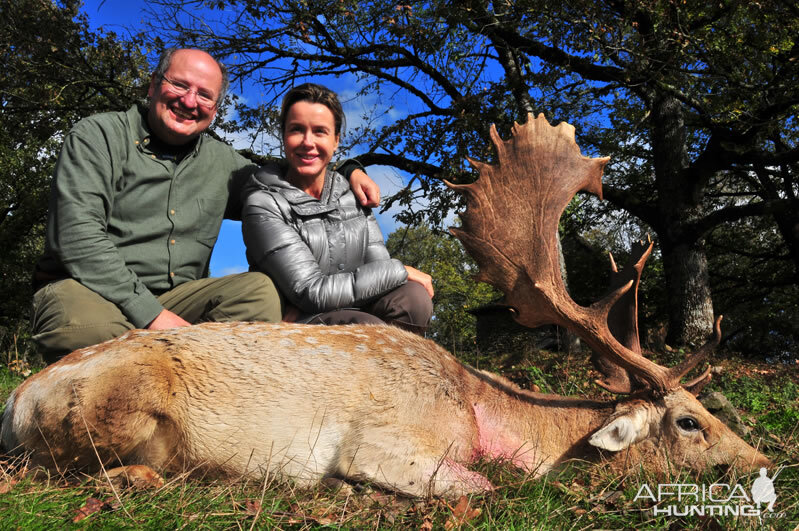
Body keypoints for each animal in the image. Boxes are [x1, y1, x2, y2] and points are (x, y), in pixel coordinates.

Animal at [3, 113, 772, 498]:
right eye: (689, 420)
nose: (762, 461)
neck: (482, 411)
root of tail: (16, 401)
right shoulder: (379, 441)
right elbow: (483, 487)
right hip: (113, 409)